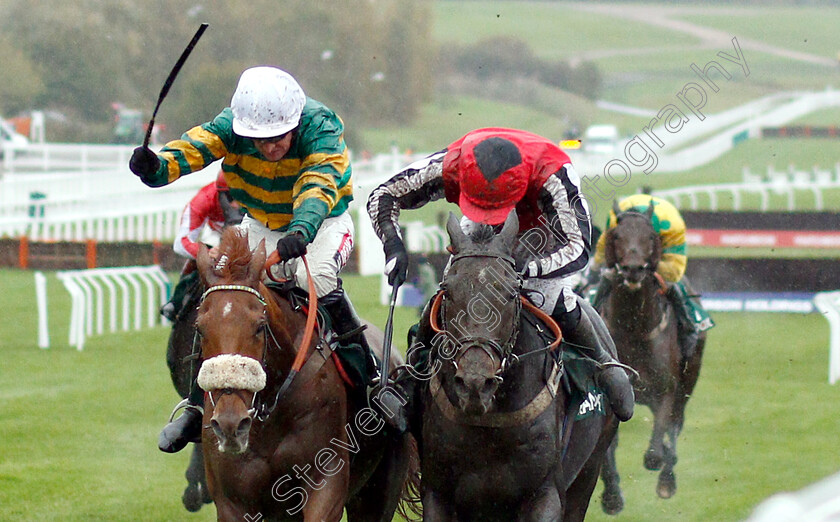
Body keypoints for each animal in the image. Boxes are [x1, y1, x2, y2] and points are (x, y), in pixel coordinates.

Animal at [192, 229, 418, 520]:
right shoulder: (232, 500)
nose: (231, 422)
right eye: (200, 328)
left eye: (259, 326)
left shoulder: (326, 481)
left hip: (378, 490)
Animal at [418, 212, 620, 520]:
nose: (476, 383)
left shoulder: (546, 493)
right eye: (447, 291)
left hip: (590, 469)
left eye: (511, 293)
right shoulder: (437, 492)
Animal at [592, 201, 704, 510]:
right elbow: (606, 448)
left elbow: (655, 450)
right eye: (617, 236)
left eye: (651, 237)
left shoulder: (667, 389)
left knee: (675, 426)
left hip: (687, 383)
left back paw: (667, 478)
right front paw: (612, 495)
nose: (633, 269)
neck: (634, 330)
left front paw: (661, 464)